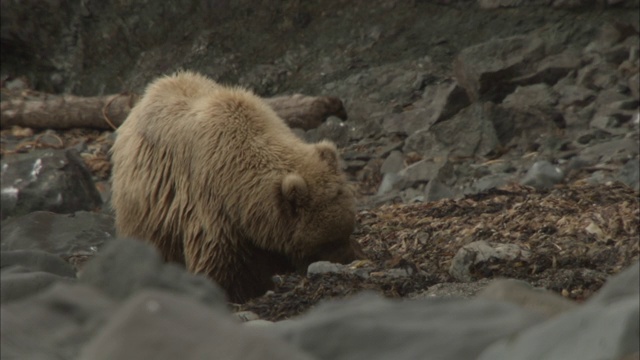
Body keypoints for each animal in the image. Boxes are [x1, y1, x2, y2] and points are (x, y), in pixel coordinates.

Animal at [109, 70, 360, 300]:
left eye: (347, 229)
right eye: (327, 242)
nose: (350, 258)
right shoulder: (213, 207)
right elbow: (223, 263)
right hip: (147, 200)